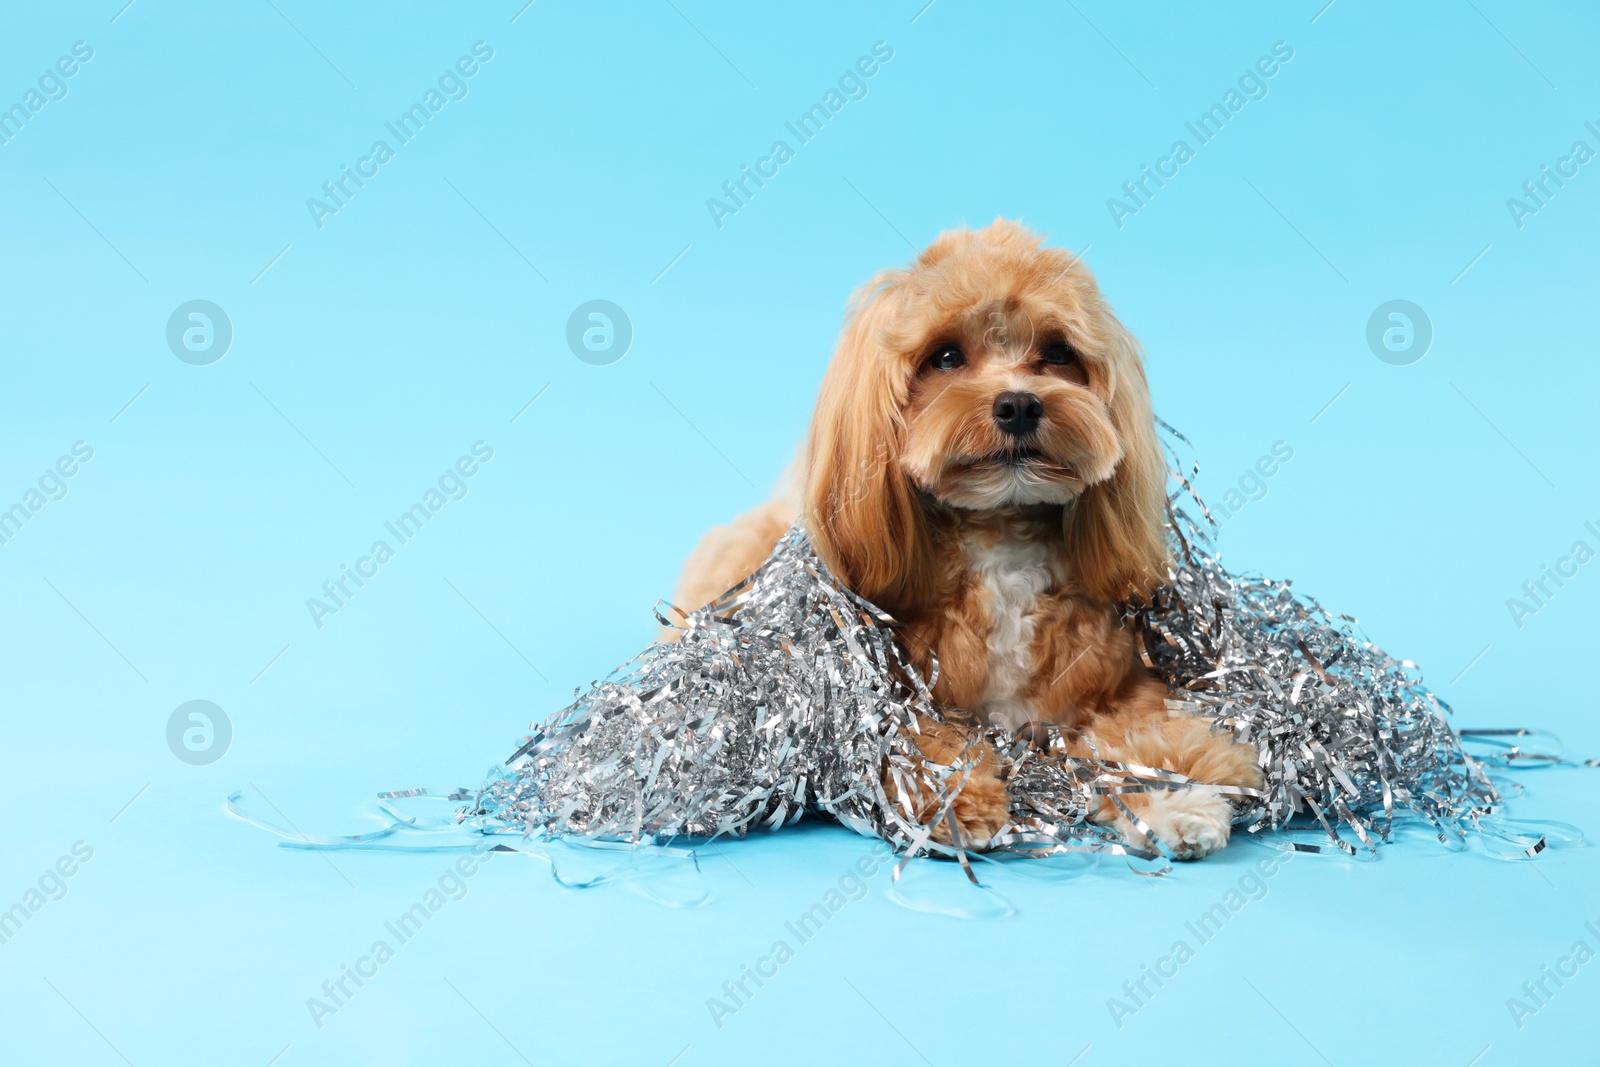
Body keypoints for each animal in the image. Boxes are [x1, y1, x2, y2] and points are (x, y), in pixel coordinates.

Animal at [665, 219, 1260, 857]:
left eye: (1058, 353)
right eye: (946, 356)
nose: (1019, 403)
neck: (1001, 539)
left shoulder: (1119, 688)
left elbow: (1141, 737)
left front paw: (1174, 800)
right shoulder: (880, 696)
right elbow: (916, 739)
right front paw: (957, 801)